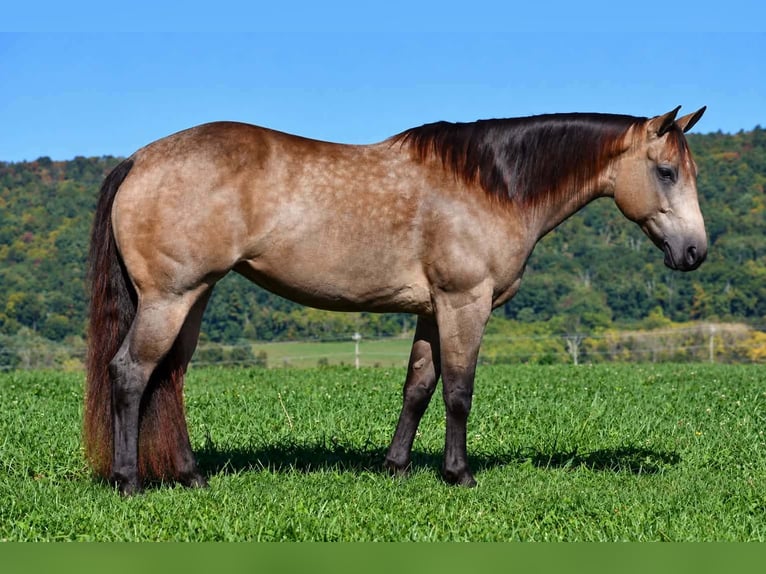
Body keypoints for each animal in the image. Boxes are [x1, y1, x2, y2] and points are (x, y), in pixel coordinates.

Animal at [84, 105, 707, 495]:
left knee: (169, 378)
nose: (695, 251)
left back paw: (191, 476)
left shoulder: (431, 311)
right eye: (666, 171)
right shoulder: (464, 304)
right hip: (169, 298)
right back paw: (128, 482)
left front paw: (396, 468)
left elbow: (418, 388)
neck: (491, 185)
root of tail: (139, 159)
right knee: (132, 373)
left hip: (194, 298)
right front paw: (459, 475)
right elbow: (458, 391)